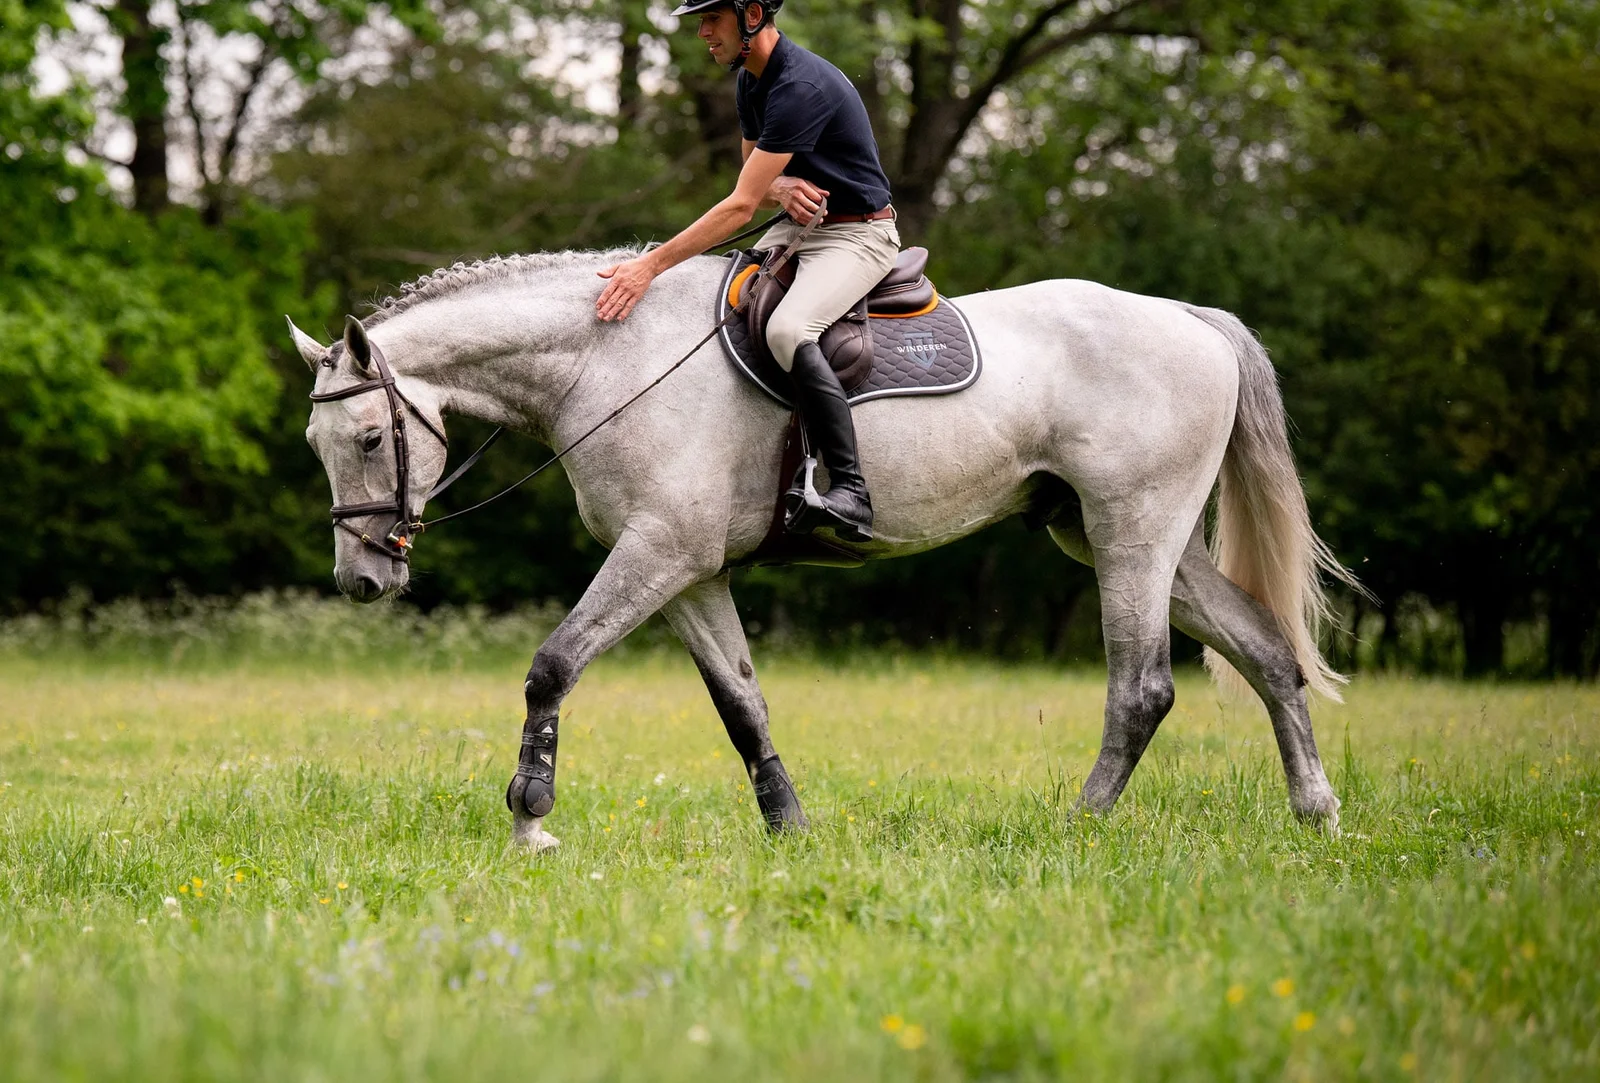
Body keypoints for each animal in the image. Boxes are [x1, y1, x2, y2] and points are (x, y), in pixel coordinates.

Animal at [291, 249, 1363, 851]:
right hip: (1121, 536)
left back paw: (1081, 826)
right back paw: (1317, 813)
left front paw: (530, 816)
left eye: (371, 438)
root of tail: (1190, 319)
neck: (609, 358)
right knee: (1267, 652)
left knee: (1141, 688)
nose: (361, 578)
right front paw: (790, 827)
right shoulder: (690, 572)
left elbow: (554, 665)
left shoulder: (658, 551)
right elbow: (741, 703)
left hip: (1129, 531)